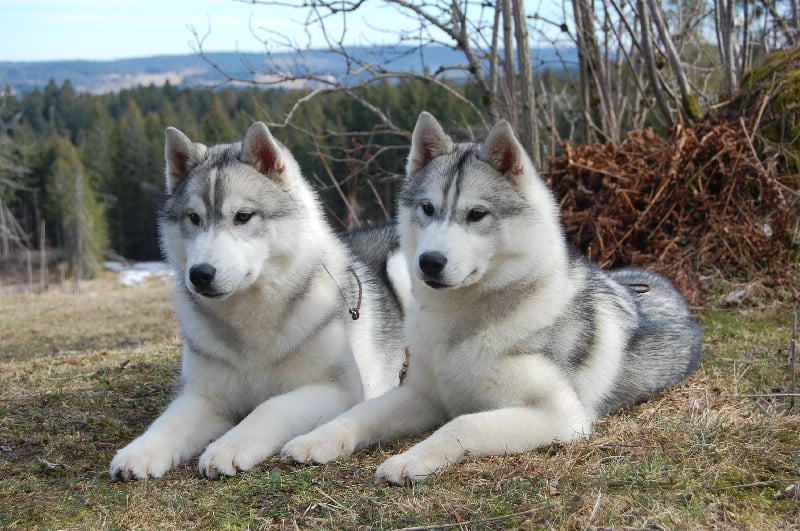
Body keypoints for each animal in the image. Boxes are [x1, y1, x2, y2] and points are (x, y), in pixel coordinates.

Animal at [109, 122, 407, 481]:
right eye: (193, 218)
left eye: (243, 216)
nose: (200, 274)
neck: (248, 325)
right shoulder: (203, 396)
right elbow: (168, 422)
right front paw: (139, 452)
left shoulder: (339, 390)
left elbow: (269, 407)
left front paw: (228, 447)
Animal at [281, 111, 702, 485]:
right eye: (427, 208)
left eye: (476, 214)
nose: (429, 262)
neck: (462, 324)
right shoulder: (421, 393)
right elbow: (360, 414)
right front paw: (316, 439)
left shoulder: (560, 415)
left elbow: (462, 423)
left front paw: (409, 460)